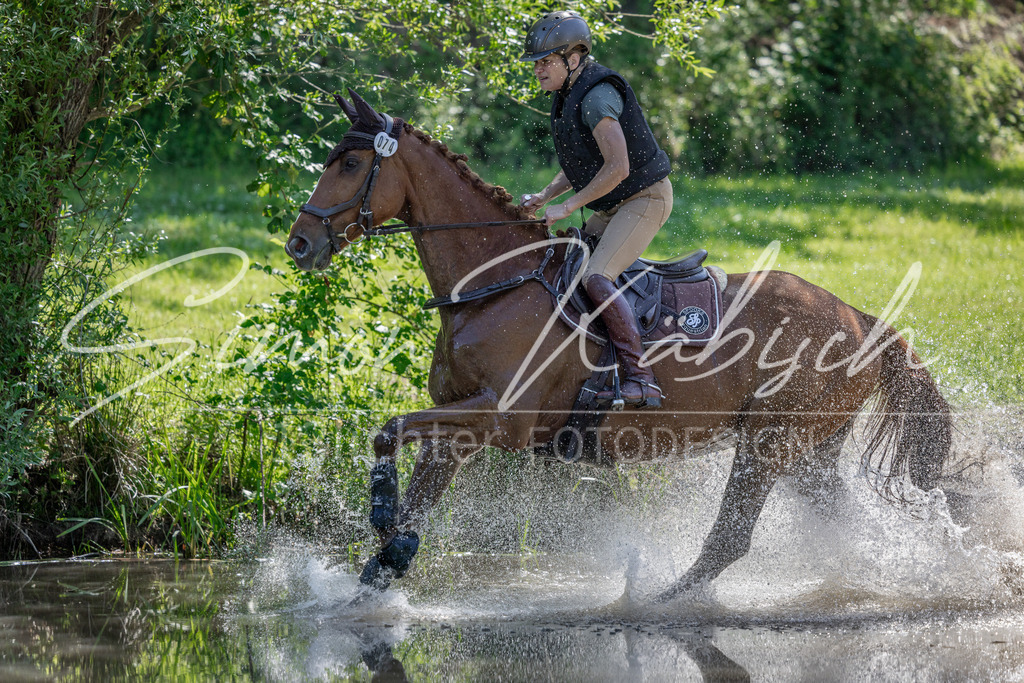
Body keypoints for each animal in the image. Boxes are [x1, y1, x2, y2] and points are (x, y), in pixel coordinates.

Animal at [284, 90, 953, 602]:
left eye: (350, 164)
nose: (299, 244)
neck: (493, 288)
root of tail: (859, 319)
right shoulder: (457, 425)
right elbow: (412, 490)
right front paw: (382, 567)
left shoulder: (500, 420)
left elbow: (388, 431)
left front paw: (381, 526)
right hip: (810, 455)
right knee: (840, 525)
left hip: (769, 445)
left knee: (731, 538)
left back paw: (656, 600)